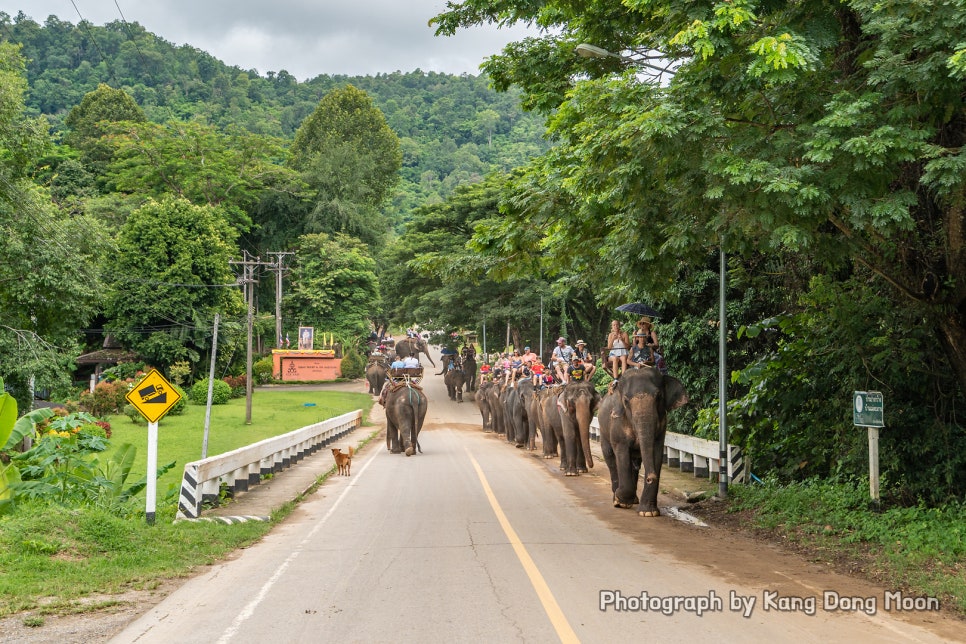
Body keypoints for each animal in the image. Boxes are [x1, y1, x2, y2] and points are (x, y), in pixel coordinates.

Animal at [600, 368, 692, 520]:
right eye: (626, 400)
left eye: (659, 396)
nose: (650, 478)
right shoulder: (617, 423)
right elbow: (622, 454)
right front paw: (620, 500)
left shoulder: (662, 425)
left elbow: (656, 453)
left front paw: (648, 512)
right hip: (604, 432)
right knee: (611, 459)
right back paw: (617, 498)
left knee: (634, 462)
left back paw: (633, 499)